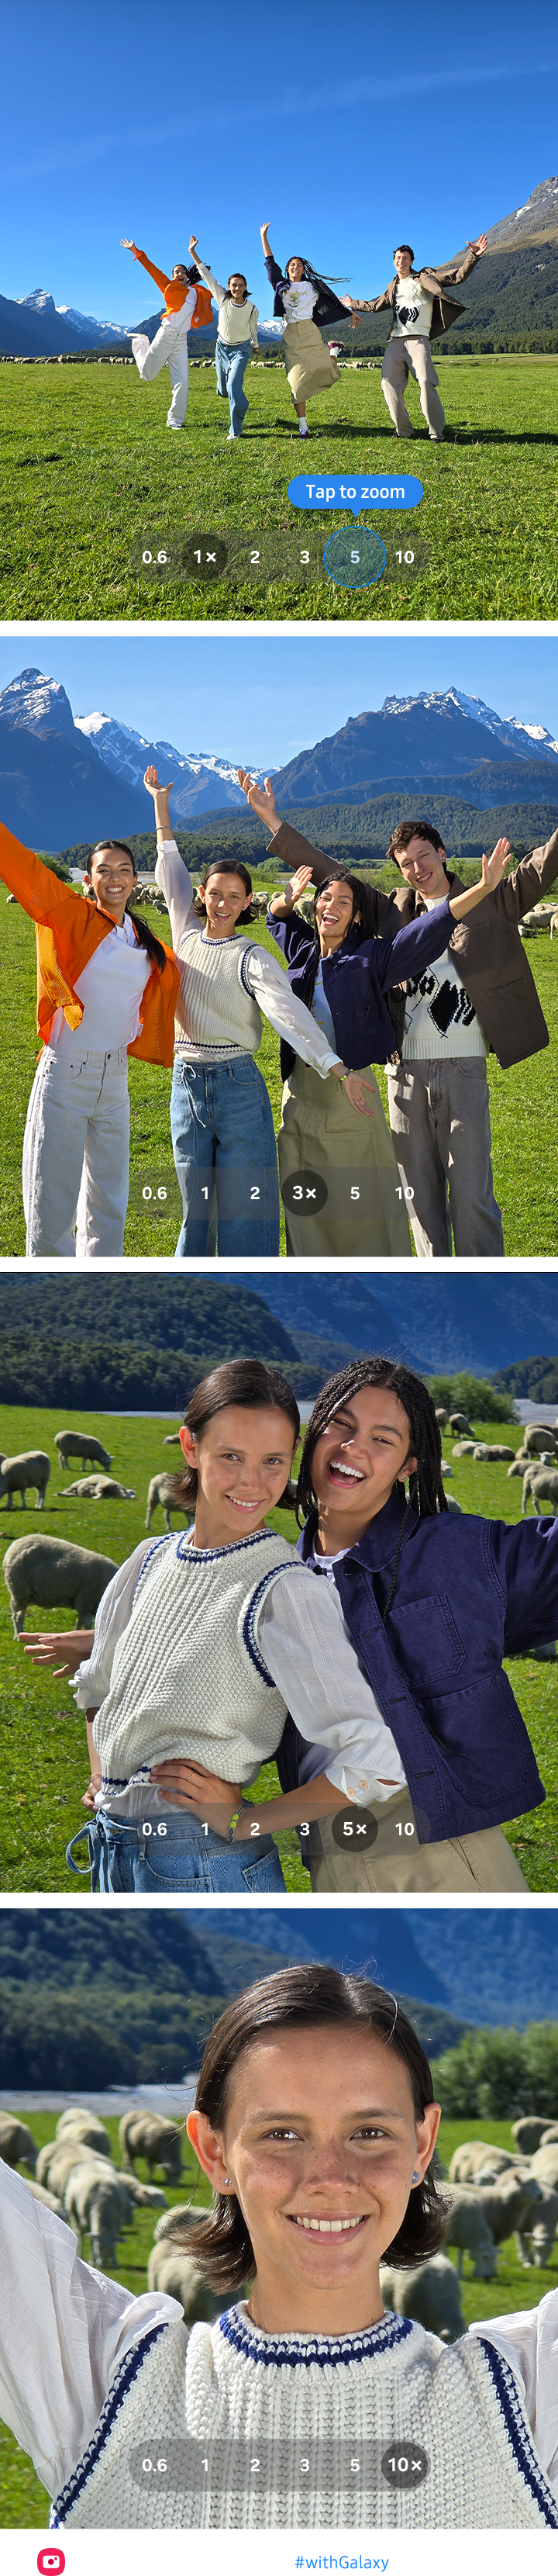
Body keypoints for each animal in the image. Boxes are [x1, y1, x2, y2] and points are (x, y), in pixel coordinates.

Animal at [2, 1525, 116, 1627]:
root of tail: (14, 1546)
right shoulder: (86, 1600)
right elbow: (87, 1624)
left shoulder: (82, 1604)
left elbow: (79, 1622)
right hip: (19, 1590)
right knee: (17, 1617)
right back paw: (19, 1635)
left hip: (24, 1594)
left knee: (20, 1614)